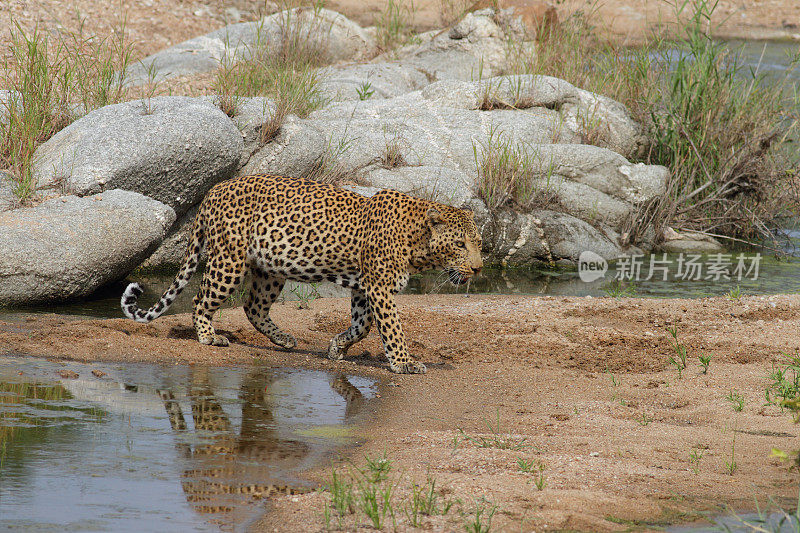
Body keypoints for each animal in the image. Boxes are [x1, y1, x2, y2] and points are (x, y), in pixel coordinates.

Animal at [118, 172, 482, 372]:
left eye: (478, 243)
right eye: (460, 244)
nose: (478, 268)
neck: (418, 241)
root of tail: (213, 190)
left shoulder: (364, 287)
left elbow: (363, 325)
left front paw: (337, 347)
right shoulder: (379, 286)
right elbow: (392, 329)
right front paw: (404, 363)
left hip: (271, 269)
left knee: (253, 306)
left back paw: (284, 339)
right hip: (229, 262)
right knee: (201, 300)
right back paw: (209, 336)